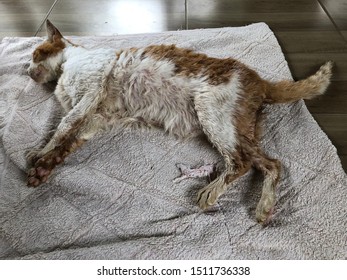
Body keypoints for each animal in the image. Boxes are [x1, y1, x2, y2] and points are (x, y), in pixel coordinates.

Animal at [26, 20, 332, 225]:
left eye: (35, 54)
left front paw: (39, 153)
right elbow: (66, 144)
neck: (66, 69)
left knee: (242, 163)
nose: (27, 71)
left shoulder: (89, 96)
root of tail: (261, 82)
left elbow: (61, 129)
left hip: (211, 113)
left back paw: (210, 192)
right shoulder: (96, 118)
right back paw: (264, 207)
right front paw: (43, 168)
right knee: (272, 164)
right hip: (237, 129)